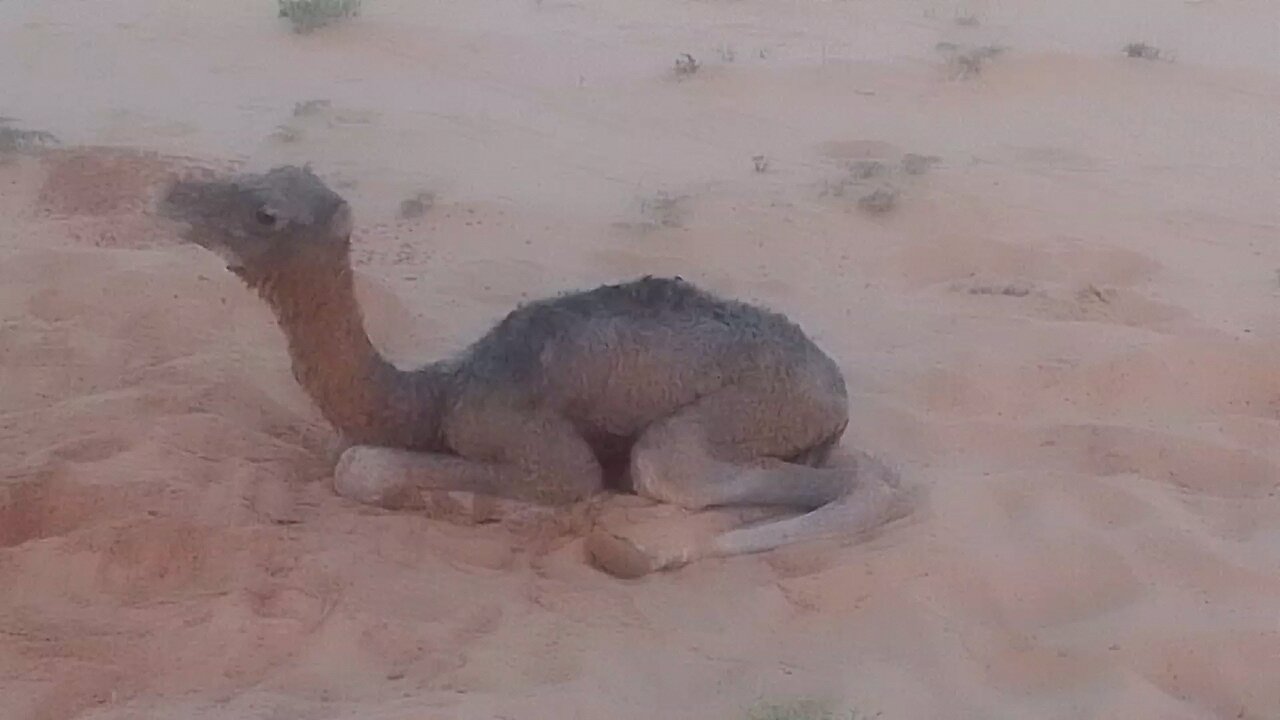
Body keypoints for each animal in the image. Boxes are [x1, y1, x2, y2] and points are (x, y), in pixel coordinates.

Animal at [154, 163, 906, 576]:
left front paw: (479, 506)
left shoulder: (529, 441)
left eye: (267, 213)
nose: (169, 194)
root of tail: (835, 389)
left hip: (756, 406)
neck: (435, 395)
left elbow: (363, 465)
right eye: (259, 177)